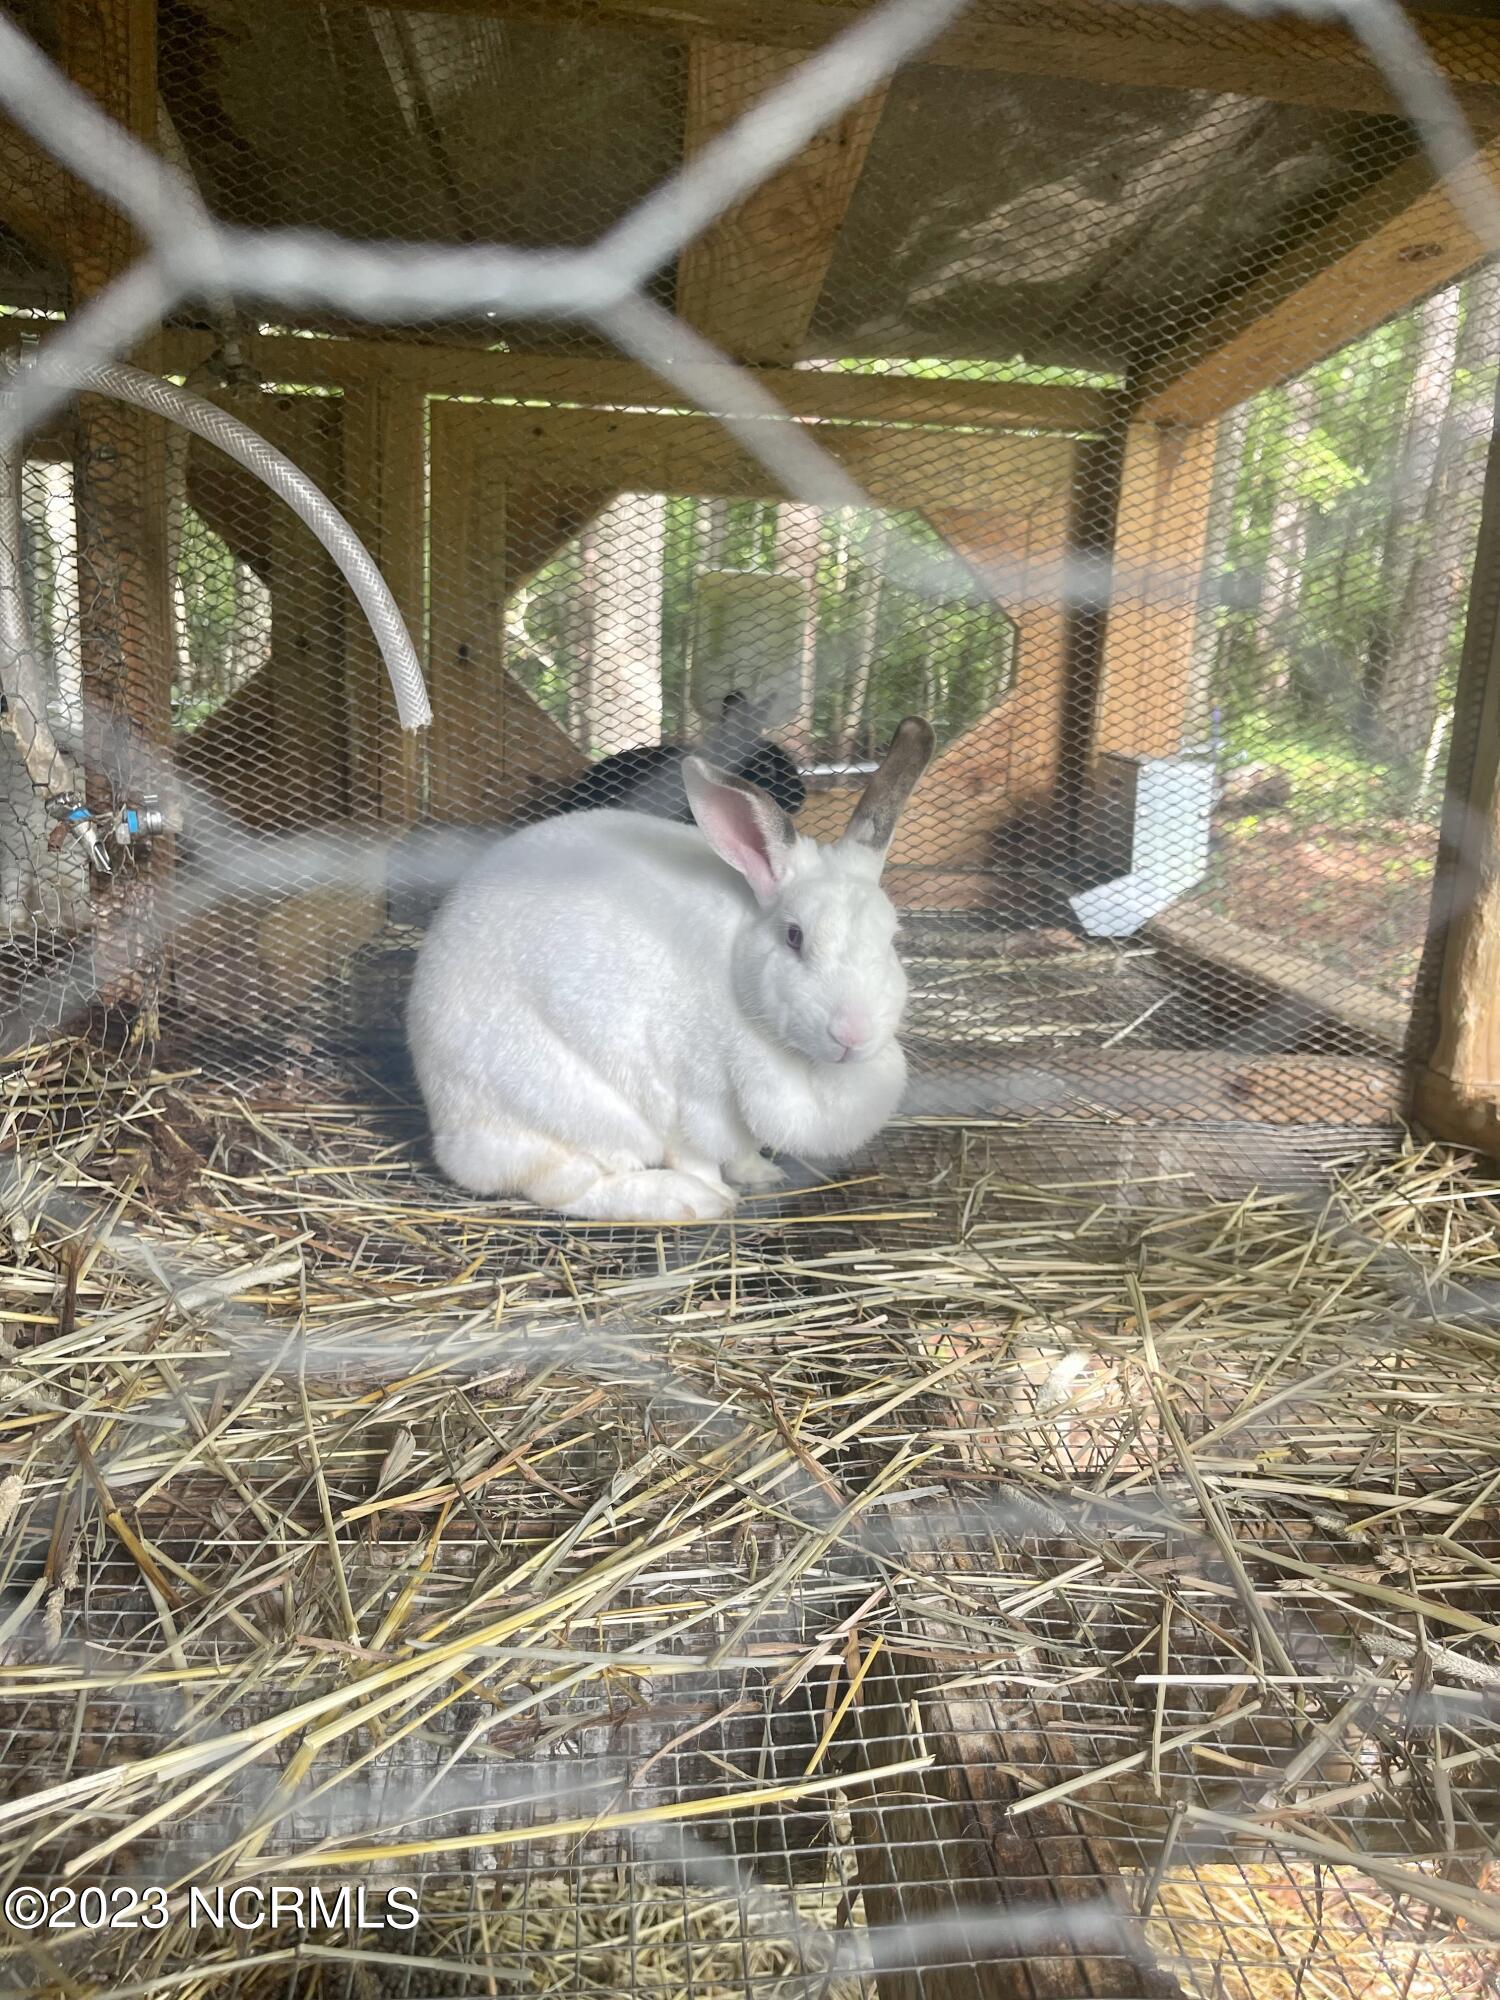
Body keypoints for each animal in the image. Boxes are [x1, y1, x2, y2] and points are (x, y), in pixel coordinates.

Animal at [407, 716, 935, 1223]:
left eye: (891, 940)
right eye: (794, 937)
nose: (853, 1034)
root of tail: (450, 1130)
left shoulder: (736, 1119)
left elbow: (742, 1151)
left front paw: (762, 1176)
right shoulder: (690, 1102)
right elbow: (697, 1155)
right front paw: (721, 1194)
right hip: (571, 1113)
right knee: (569, 1186)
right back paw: (686, 1201)